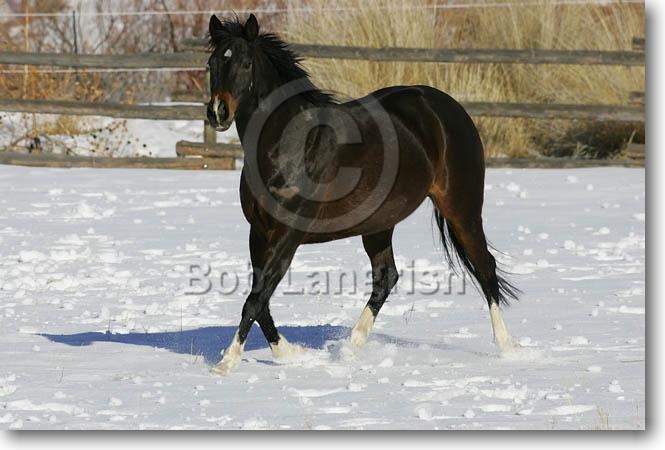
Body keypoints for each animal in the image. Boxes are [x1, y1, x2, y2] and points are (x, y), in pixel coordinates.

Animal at [205, 14, 521, 375]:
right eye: (212, 63)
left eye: (245, 64)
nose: (218, 112)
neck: (287, 146)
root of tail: (448, 108)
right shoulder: (259, 233)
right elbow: (261, 300)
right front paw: (289, 353)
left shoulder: (289, 234)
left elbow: (256, 299)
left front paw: (226, 363)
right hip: (379, 223)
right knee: (386, 277)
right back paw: (349, 348)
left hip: (462, 209)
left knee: (485, 268)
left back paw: (508, 346)